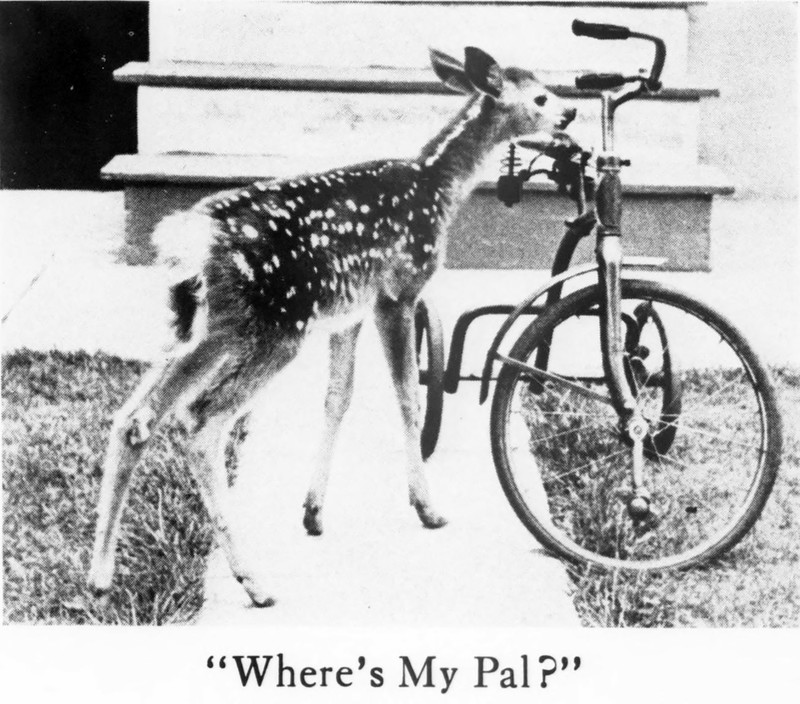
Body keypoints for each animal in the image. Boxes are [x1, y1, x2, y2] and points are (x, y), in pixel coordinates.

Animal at [88, 46, 577, 607]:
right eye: (540, 97)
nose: (571, 113)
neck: (435, 185)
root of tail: (185, 242)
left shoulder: (349, 314)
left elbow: (337, 399)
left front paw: (314, 512)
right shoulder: (397, 293)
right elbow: (407, 399)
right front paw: (427, 508)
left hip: (191, 327)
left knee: (133, 417)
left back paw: (100, 575)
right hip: (271, 327)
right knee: (199, 420)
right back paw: (255, 582)